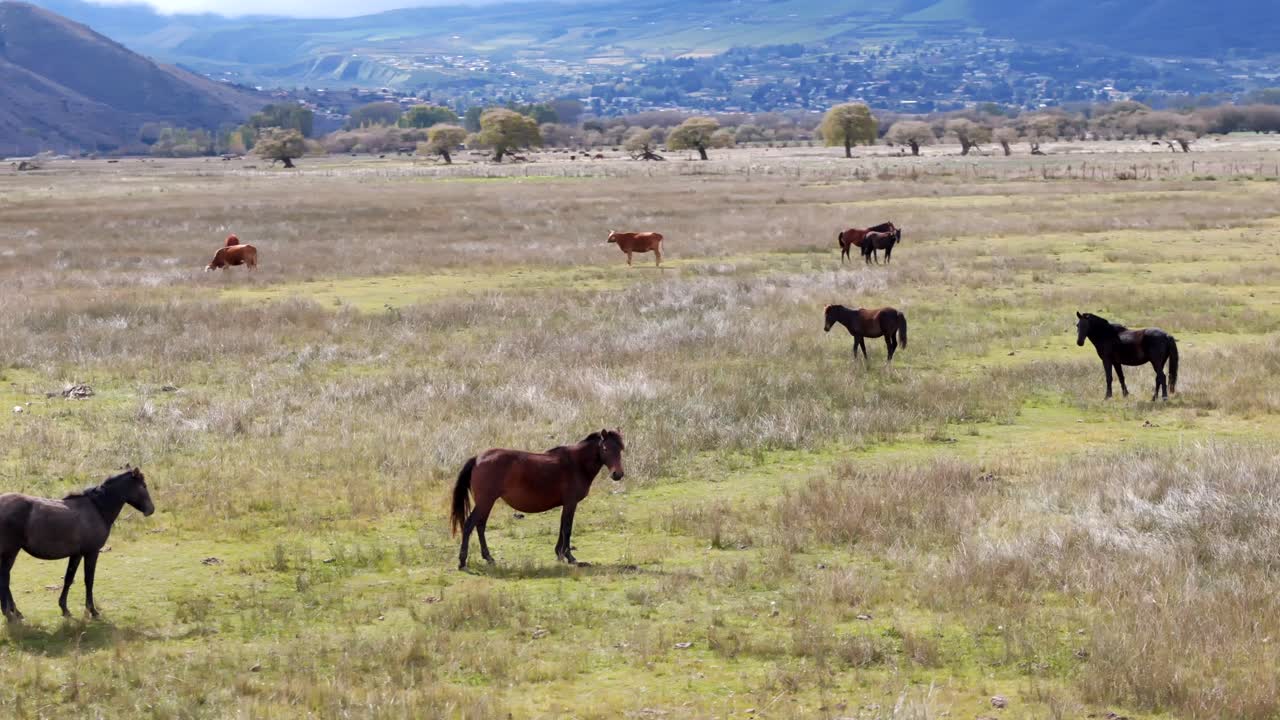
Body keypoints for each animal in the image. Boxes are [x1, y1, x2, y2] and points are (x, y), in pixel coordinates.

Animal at [0, 466, 155, 620]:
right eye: (143, 486)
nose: (151, 509)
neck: (97, 508)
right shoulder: (92, 552)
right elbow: (89, 580)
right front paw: (92, 610)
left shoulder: (77, 554)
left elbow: (69, 578)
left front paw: (64, 608)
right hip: (10, 552)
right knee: (5, 579)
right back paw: (9, 613)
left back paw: (16, 612)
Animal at [451, 430, 626, 570]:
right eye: (605, 448)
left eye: (621, 449)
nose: (617, 474)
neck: (576, 463)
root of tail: (477, 458)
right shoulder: (571, 503)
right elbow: (567, 528)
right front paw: (570, 557)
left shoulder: (566, 504)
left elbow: (562, 527)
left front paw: (559, 554)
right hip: (485, 501)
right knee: (469, 525)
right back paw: (462, 561)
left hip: (486, 503)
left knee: (480, 526)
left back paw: (488, 558)